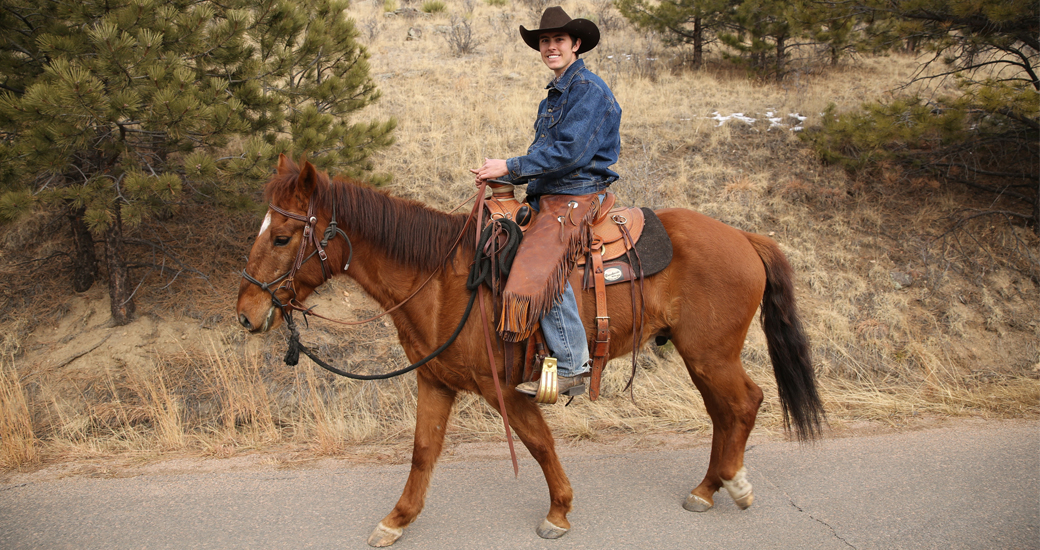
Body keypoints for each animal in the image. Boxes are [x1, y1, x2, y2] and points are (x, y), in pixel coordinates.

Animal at [239, 156, 823, 544]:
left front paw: (559, 512)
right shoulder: (437, 381)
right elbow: (423, 450)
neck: (444, 282)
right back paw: (707, 488)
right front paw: (397, 519)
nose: (246, 311)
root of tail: (745, 238)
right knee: (724, 412)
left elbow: (539, 443)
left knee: (743, 403)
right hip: (699, 355)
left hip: (711, 353)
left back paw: (733, 484)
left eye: (283, 238)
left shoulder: (500, 388)